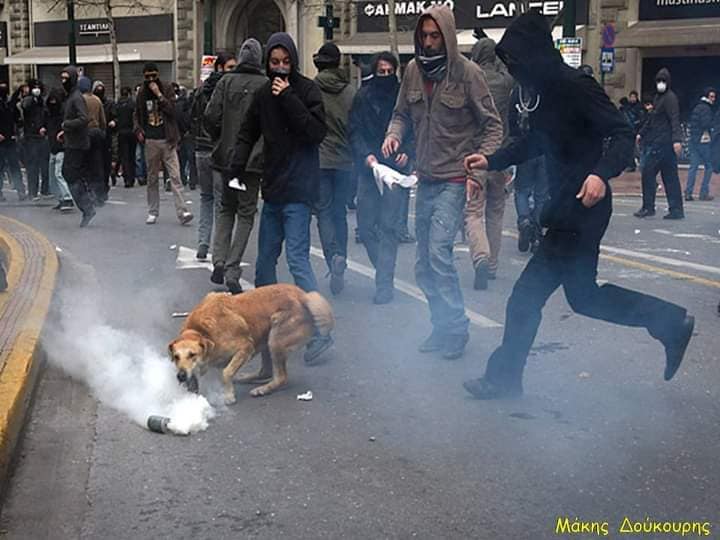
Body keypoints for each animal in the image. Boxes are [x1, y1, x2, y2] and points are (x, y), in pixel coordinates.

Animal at [168, 284, 334, 402]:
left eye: (192, 355)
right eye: (176, 357)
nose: (180, 376)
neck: (201, 331)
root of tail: (304, 296)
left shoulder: (246, 347)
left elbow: (226, 373)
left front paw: (229, 395)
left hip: (276, 338)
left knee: (281, 377)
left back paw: (263, 389)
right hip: (267, 338)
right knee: (265, 371)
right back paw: (249, 378)